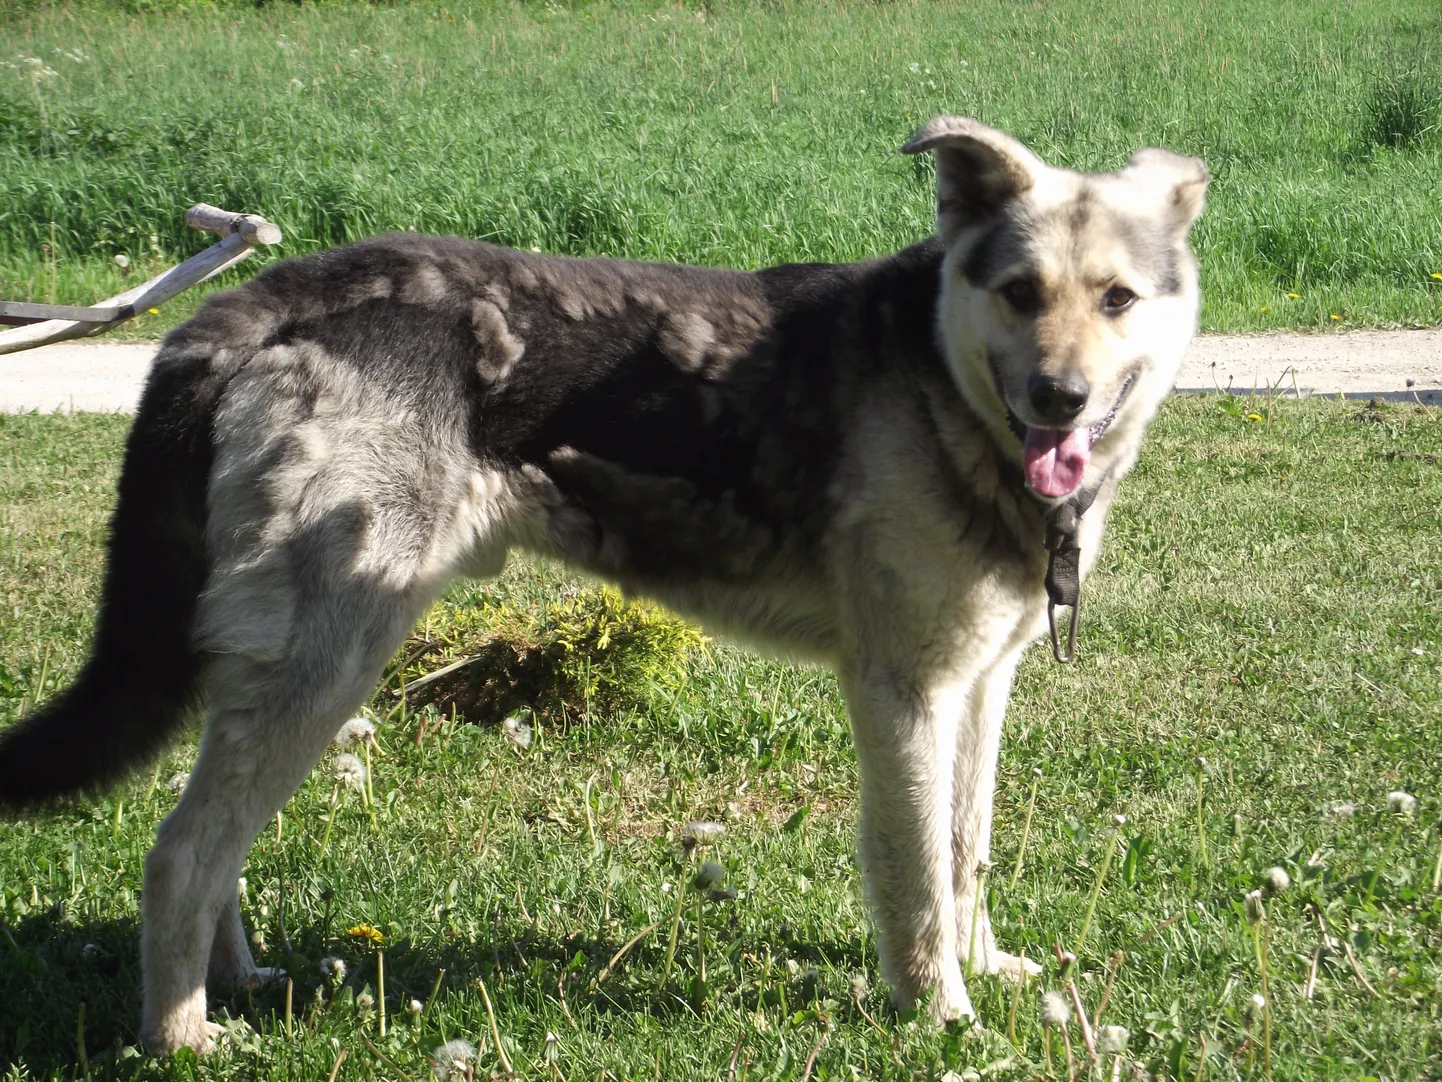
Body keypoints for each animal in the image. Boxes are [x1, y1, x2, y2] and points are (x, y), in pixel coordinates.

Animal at [0, 120, 1205, 1061]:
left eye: (1115, 298)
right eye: (1018, 293)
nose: (1059, 398)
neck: (945, 386)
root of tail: (250, 306)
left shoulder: (979, 687)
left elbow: (964, 854)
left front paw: (983, 966)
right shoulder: (903, 693)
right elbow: (912, 873)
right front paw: (936, 1014)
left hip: (288, 665)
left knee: (209, 837)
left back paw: (235, 982)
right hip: (330, 657)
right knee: (180, 851)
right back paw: (181, 1036)